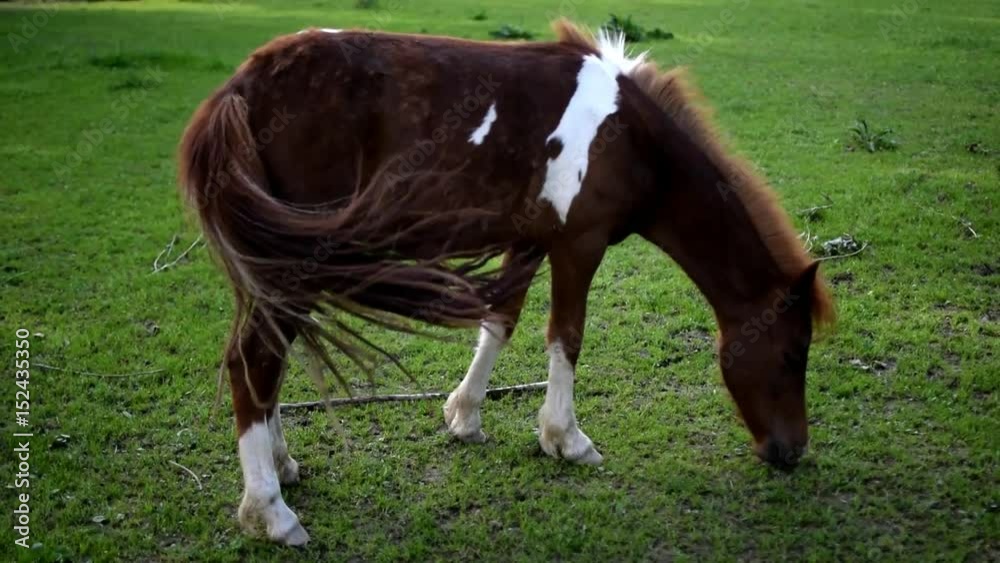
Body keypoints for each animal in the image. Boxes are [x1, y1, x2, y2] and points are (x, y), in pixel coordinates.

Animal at [178, 20, 835, 545]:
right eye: (792, 354)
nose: (792, 451)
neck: (630, 136)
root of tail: (239, 89)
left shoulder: (529, 239)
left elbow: (500, 319)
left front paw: (465, 416)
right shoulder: (579, 243)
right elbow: (566, 337)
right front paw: (565, 438)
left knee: (267, 359)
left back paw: (282, 466)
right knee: (253, 358)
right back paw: (271, 511)